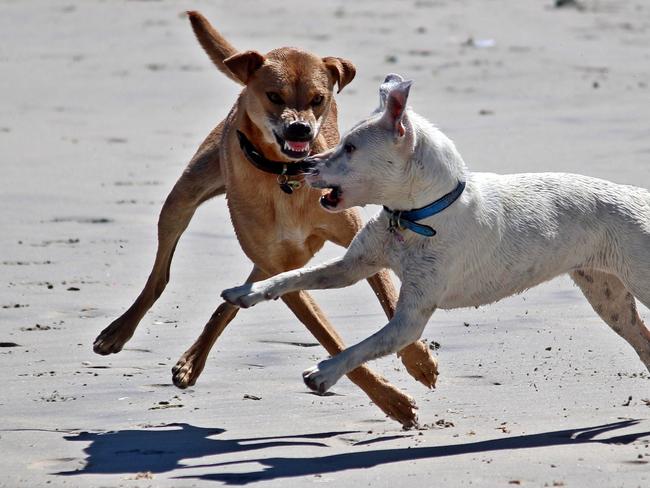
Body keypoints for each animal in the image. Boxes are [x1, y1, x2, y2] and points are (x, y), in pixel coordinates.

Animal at [91, 11, 436, 428]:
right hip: (184, 198)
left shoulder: (351, 243)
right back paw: (121, 331)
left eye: (318, 99)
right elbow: (329, 337)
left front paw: (419, 361)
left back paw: (192, 359)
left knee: (236, 293)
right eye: (274, 96)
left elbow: (388, 296)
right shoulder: (283, 269)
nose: (300, 128)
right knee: (161, 274)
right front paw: (392, 401)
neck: (285, 177)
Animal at [221, 73, 648, 396]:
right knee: (643, 342)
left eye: (351, 147)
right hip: (608, 298)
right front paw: (248, 292)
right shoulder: (352, 266)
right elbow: (291, 275)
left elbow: (363, 347)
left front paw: (325, 373)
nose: (303, 164)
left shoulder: (409, 320)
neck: (415, 216)